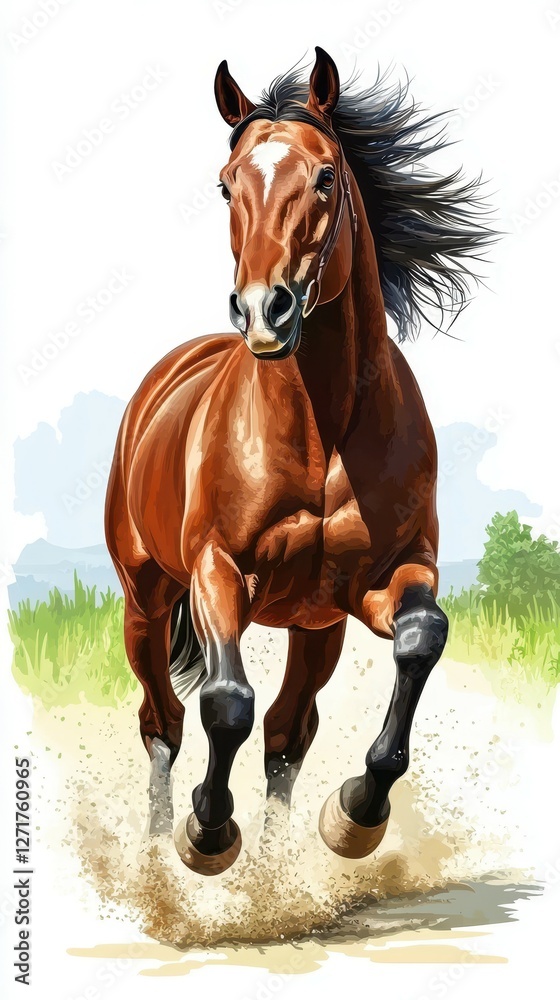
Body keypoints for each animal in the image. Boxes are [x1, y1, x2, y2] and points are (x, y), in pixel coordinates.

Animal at [105, 48, 492, 875]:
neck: (321, 428)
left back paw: (277, 874)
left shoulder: (382, 578)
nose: (263, 311)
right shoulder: (218, 572)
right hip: (146, 601)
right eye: (227, 184)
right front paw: (206, 833)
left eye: (323, 176)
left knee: (288, 732)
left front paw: (356, 814)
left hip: (315, 627)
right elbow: (226, 703)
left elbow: (421, 638)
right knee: (163, 720)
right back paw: (156, 854)